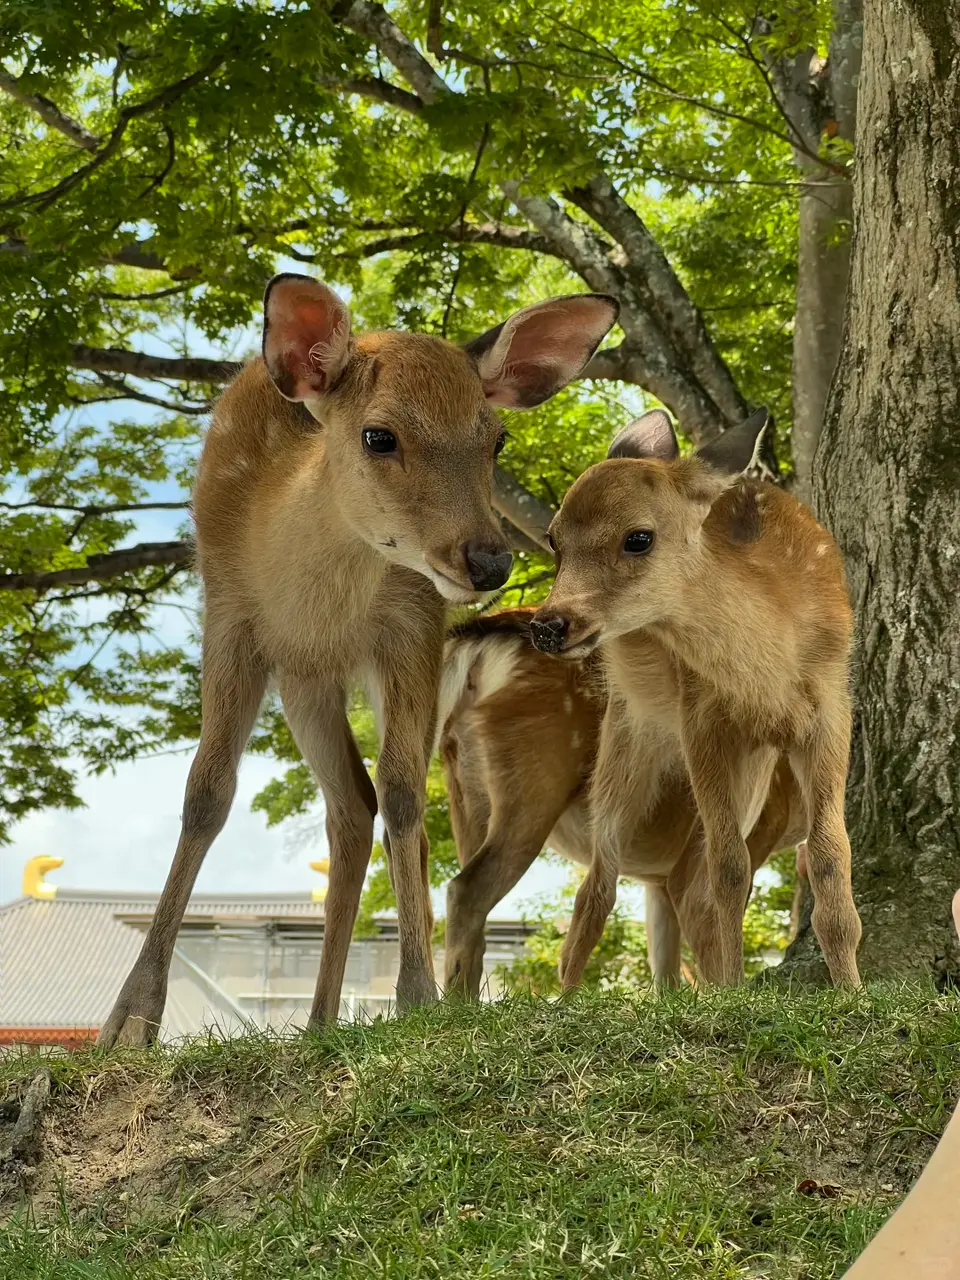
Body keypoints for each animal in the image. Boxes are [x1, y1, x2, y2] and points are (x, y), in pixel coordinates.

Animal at [96, 272, 619, 1047]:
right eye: (379, 435)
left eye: (496, 439)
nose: (490, 561)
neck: (314, 600)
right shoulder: (230, 618)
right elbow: (204, 795)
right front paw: (130, 1019)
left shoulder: (410, 626)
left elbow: (403, 793)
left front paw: (417, 996)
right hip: (303, 680)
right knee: (348, 805)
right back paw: (316, 1020)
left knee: (372, 804)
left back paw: (331, 1017)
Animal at [437, 581, 806, 1000]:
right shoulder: (760, 827)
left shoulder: (657, 878)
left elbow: (663, 959)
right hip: (535, 772)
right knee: (467, 890)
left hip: (463, 787)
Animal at [525, 407, 862, 991]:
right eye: (553, 539)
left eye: (639, 537)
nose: (547, 625)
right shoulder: (700, 717)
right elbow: (727, 869)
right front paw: (735, 990)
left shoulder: (830, 710)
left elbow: (828, 856)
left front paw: (852, 991)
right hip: (627, 735)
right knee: (599, 884)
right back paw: (564, 999)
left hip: (754, 766)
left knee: (679, 883)